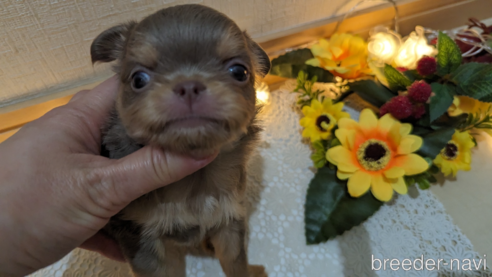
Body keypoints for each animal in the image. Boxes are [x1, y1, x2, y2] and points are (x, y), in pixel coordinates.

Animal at [90, 2, 270, 276]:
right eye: (138, 79)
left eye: (240, 72)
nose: (189, 86)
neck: (194, 184)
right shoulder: (141, 239)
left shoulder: (229, 219)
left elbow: (235, 263)